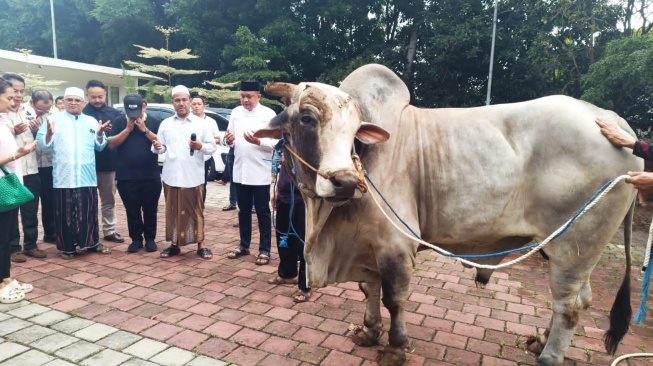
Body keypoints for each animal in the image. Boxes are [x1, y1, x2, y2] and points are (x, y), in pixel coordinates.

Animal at [253, 64, 636, 364]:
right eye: (306, 118)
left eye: (355, 126)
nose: (346, 181)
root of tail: (614, 121)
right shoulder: (369, 243)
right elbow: (368, 288)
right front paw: (369, 331)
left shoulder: (396, 246)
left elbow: (394, 299)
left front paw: (395, 347)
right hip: (575, 249)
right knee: (579, 299)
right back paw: (540, 340)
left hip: (576, 244)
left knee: (567, 307)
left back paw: (548, 356)